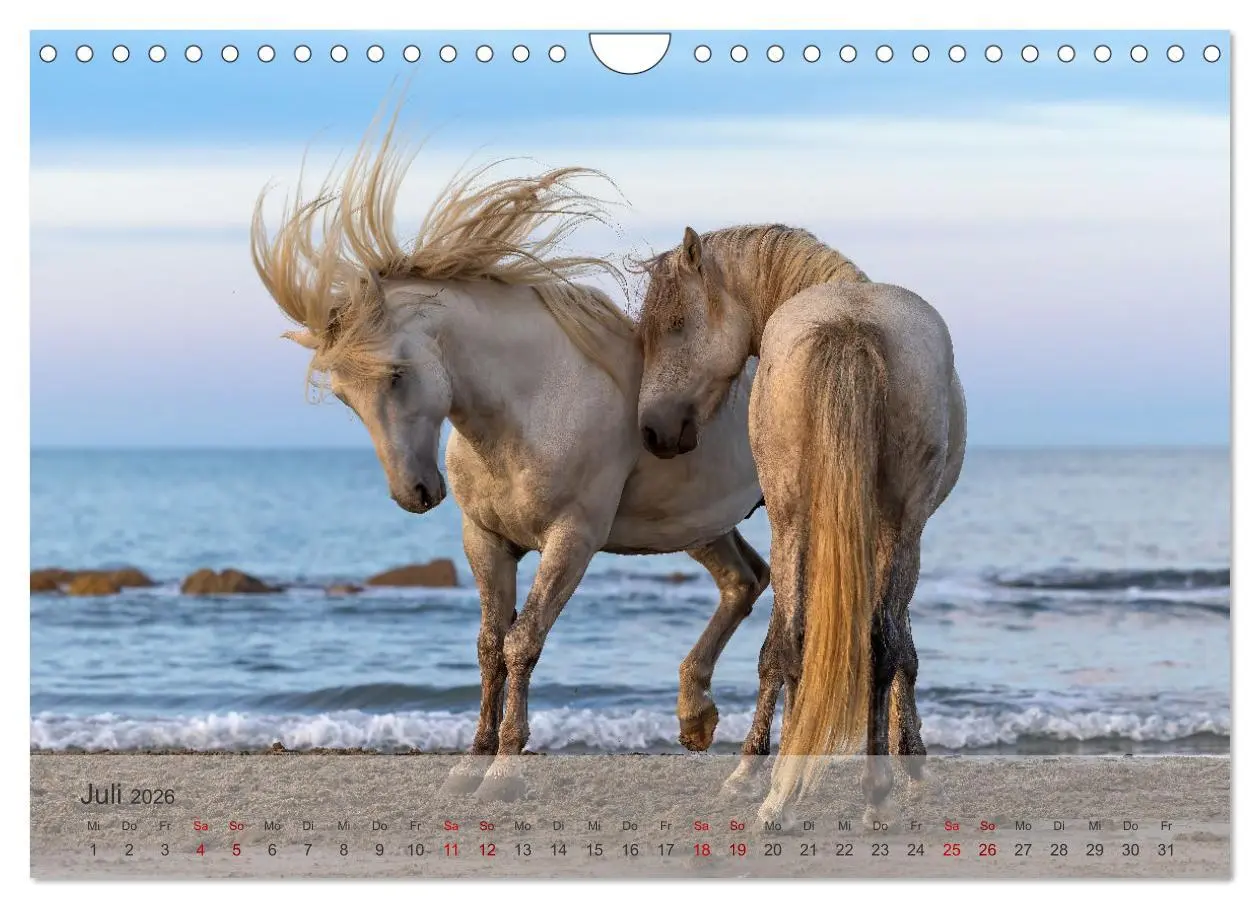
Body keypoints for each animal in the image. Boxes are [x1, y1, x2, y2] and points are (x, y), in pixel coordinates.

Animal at [249, 119, 768, 801]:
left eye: (396, 373)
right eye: (341, 395)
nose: (414, 493)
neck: (531, 406)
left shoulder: (571, 540)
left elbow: (523, 642)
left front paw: (505, 767)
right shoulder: (486, 540)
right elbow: (489, 646)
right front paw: (471, 762)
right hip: (698, 523)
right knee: (745, 580)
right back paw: (696, 718)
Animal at [633, 224, 967, 826]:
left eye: (675, 325)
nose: (652, 430)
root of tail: (851, 325)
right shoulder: (895, 531)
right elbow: (898, 650)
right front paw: (912, 765)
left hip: (796, 520)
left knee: (796, 643)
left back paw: (779, 788)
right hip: (881, 526)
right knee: (868, 644)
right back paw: (868, 793)